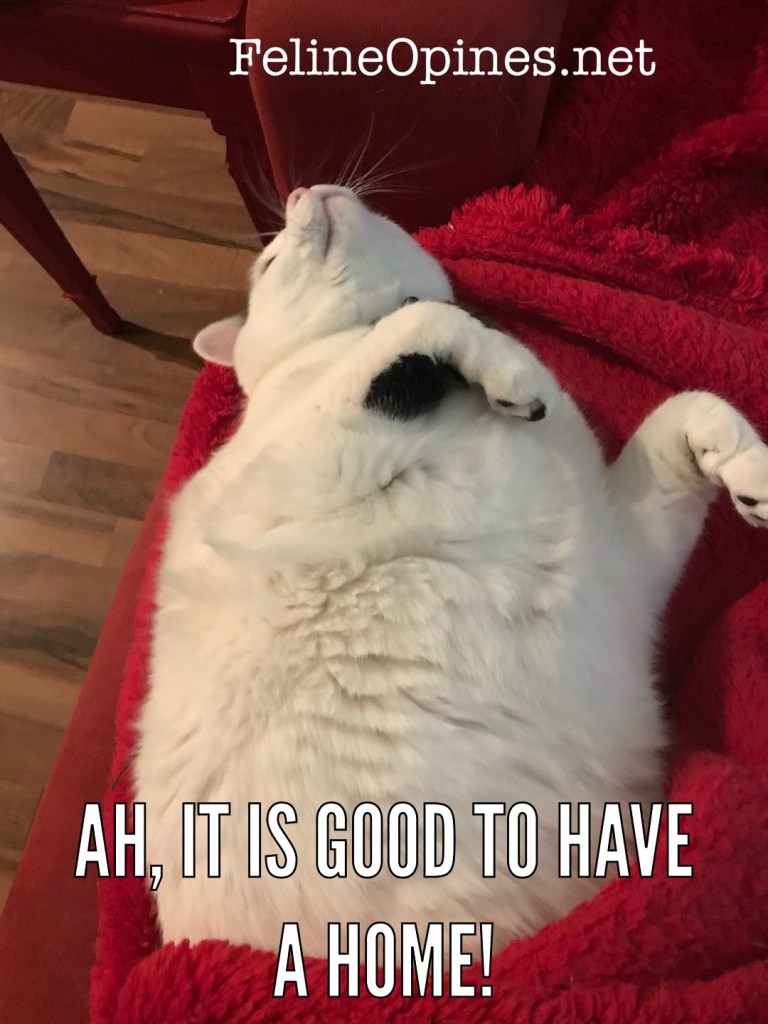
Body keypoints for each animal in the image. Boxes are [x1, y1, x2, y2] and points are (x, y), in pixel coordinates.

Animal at [135, 184, 768, 960]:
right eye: (271, 261)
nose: (303, 190)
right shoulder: (306, 465)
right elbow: (419, 320)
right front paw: (504, 369)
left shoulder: (625, 566)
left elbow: (690, 404)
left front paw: (747, 467)